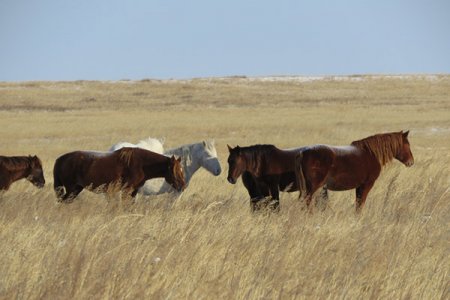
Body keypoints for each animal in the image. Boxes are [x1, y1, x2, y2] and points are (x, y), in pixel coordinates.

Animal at [53, 147, 185, 202]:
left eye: (181, 170)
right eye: (175, 171)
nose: (183, 186)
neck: (141, 164)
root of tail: (60, 159)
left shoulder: (133, 191)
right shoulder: (127, 190)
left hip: (76, 189)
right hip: (71, 189)